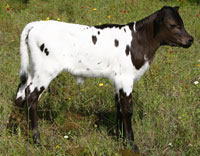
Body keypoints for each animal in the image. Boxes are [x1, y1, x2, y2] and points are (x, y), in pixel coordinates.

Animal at [14, 5, 193, 152]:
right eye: (173, 25)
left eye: (182, 22)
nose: (190, 39)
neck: (138, 40)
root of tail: (37, 24)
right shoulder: (126, 77)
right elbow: (128, 109)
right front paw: (132, 144)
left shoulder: (117, 80)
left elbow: (119, 107)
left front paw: (120, 139)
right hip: (46, 70)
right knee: (31, 96)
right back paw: (37, 141)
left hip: (35, 70)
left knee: (21, 91)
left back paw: (16, 128)